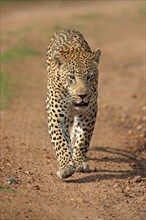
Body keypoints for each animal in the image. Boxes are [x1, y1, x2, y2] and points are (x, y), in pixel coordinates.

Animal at [45, 28, 100, 179]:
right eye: (71, 77)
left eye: (90, 77)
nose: (82, 96)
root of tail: (67, 29)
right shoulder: (55, 117)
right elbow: (60, 141)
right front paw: (65, 166)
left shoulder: (89, 113)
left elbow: (83, 139)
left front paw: (79, 161)